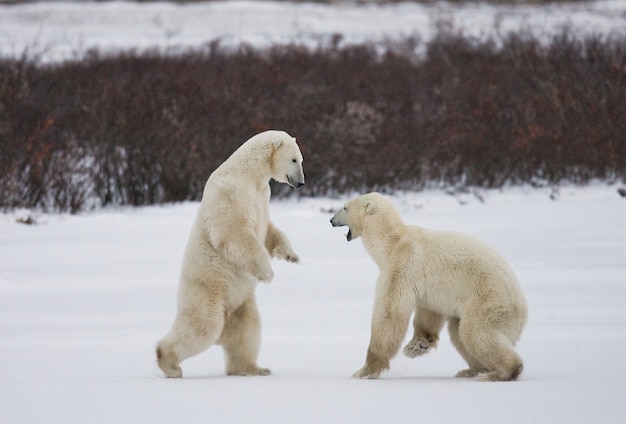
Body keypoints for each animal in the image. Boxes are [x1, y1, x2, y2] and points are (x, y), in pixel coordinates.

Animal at [155, 129, 304, 378]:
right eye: (294, 160)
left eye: (301, 160)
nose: (301, 183)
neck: (248, 172)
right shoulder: (231, 193)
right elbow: (236, 231)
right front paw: (267, 273)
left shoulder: (262, 195)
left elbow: (269, 231)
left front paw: (292, 256)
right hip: (207, 291)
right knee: (202, 327)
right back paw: (170, 365)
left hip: (241, 302)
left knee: (248, 330)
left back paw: (254, 368)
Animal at [330, 192, 524, 380]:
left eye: (345, 207)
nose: (331, 220)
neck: (392, 243)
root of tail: (523, 315)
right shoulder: (427, 285)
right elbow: (429, 311)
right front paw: (417, 346)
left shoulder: (400, 268)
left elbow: (389, 314)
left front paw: (364, 371)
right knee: (458, 332)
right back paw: (471, 370)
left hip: (488, 301)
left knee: (475, 332)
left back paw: (499, 372)